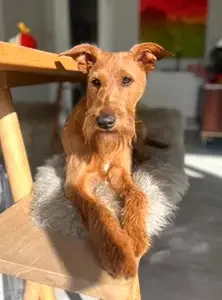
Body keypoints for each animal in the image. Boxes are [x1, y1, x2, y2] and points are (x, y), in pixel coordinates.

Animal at [59, 42, 172, 278]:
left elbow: (138, 195)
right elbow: (99, 210)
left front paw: (135, 236)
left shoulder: (120, 173)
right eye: (95, 82)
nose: (105, 122)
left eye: (127, 80)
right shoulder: (75, 182)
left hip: (139, 129)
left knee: (143, 148)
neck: (102, 145)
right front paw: (118, 251)